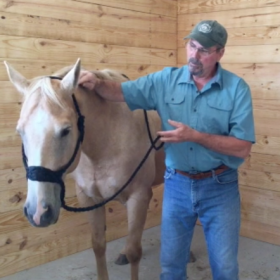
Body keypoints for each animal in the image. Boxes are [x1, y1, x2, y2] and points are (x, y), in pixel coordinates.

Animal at [4, 59, 165, 280]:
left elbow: (135, 252)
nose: (38, 212)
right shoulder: (89, 198)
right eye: (20, 131)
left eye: (66, 131)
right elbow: (98, 246)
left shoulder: (139, 196)